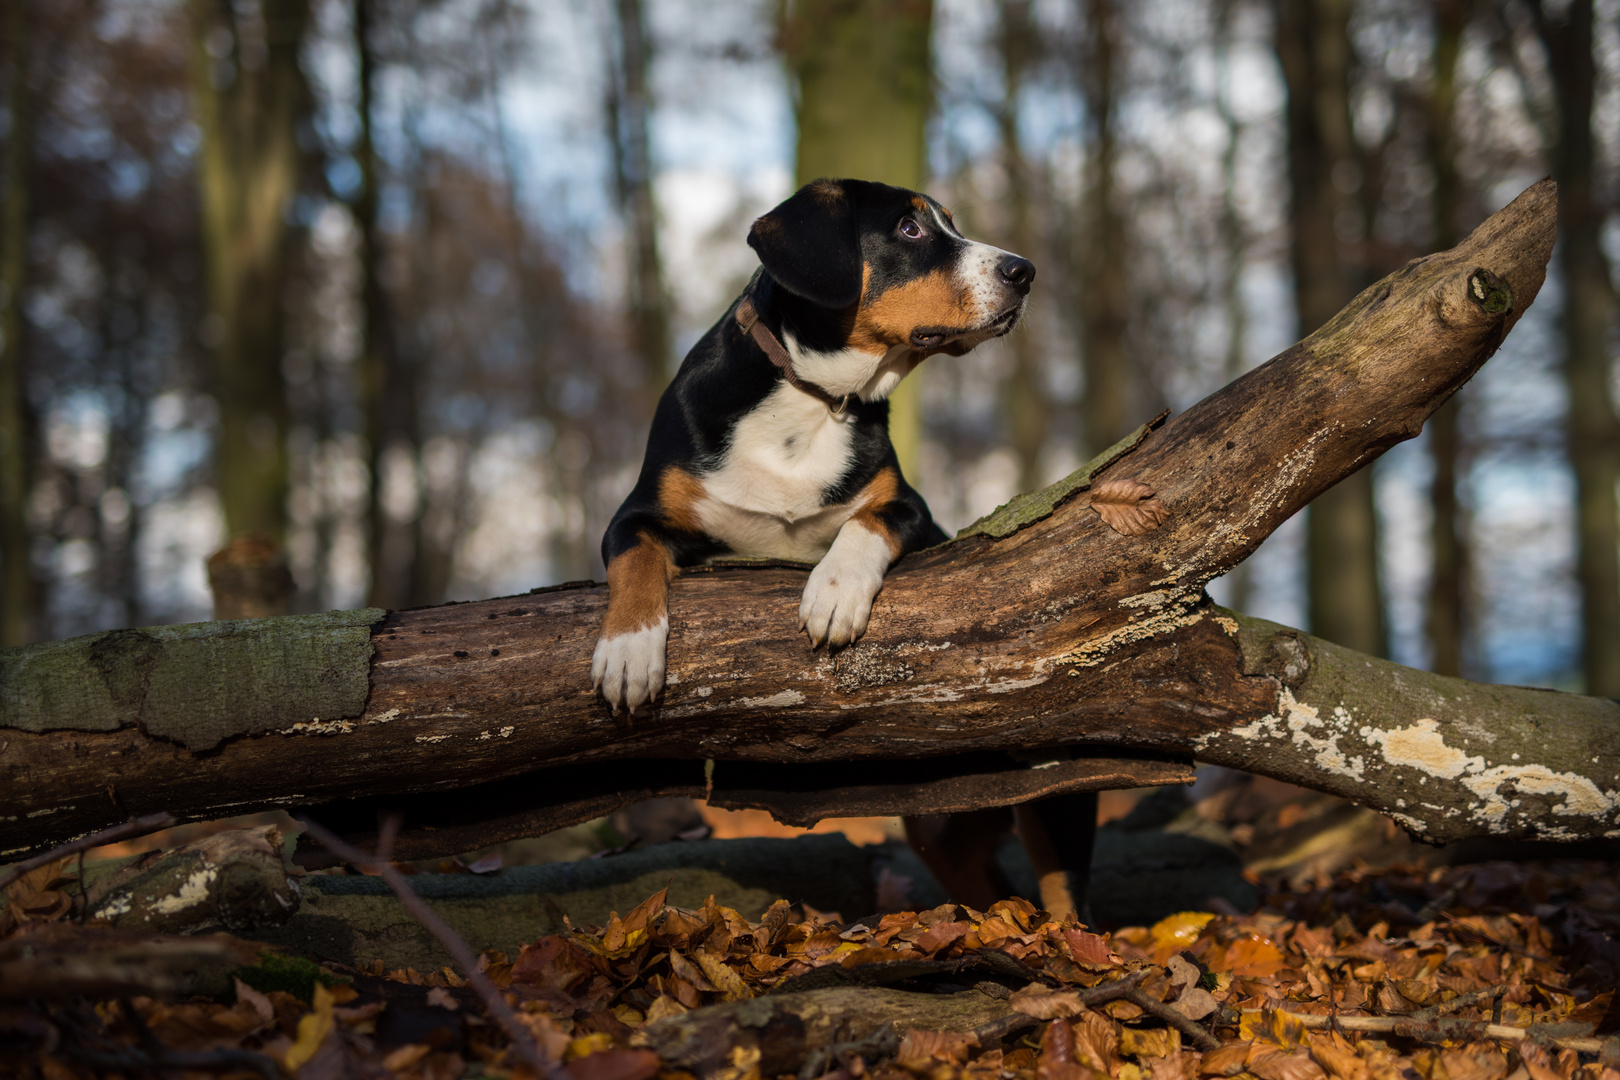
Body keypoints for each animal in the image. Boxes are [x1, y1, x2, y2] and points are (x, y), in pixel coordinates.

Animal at [589, 179, 1030, 718]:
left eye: (952, 225)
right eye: (910, 228)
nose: (1024, 272)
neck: (813, 398)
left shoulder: (911, 507)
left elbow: (867, 522)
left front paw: (835, 591)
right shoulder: (636, 515)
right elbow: (635, 561)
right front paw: (627, 651)